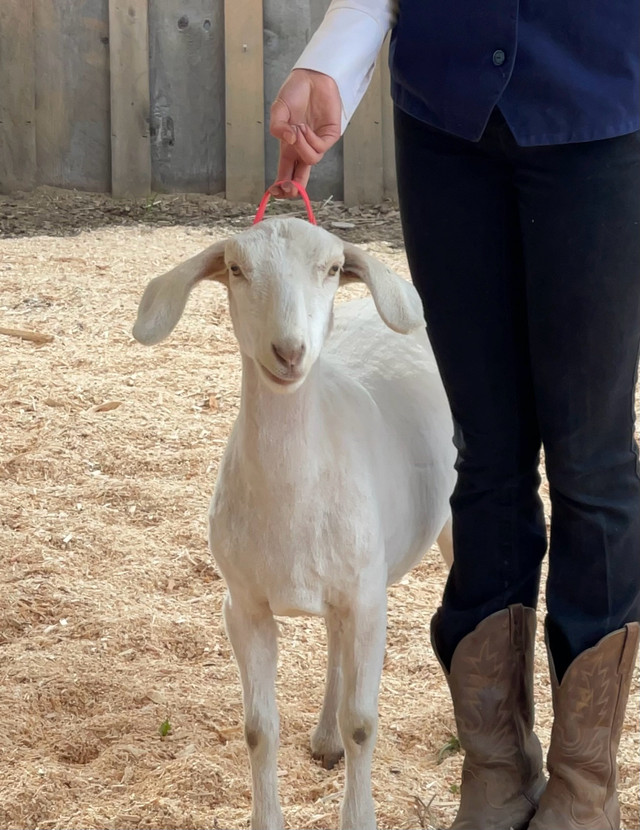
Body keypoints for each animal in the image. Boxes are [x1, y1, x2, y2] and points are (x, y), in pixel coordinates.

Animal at [134, 218, 456, 828]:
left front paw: (359, 817)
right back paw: (326, 737)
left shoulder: (367, 598)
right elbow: (259, 729)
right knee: (334, 642)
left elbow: (364, 724)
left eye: (331, 269)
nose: (289, 351)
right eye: (237, 269)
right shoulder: (243, 605)